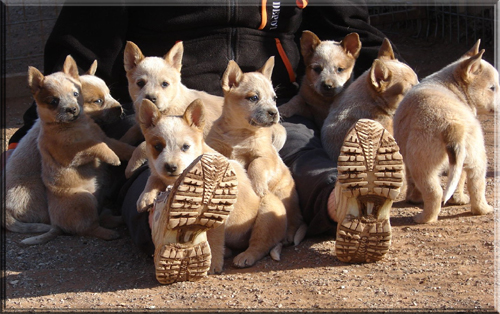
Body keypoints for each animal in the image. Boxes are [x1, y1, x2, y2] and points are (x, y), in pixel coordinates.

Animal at [205, 57, 306, 248]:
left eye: (274, 98)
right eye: (253, 98)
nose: (274, 113)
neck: (239, 134)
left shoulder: (266, 155)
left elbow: (255, 165)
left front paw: (258, 187)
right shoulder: (218, 147)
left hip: (285, 197)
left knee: (293, 220)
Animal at [394, 39, 496, 223]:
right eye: (493, 88)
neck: (451, 83)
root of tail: (452, 126)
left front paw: (414, 199)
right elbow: (460, 179)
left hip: (423, 165)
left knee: (435, 192)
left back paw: (424, 218)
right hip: (477, 157)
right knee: (476, 185)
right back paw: (482, 209)